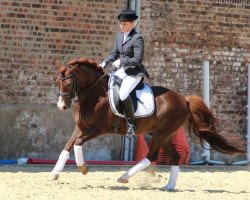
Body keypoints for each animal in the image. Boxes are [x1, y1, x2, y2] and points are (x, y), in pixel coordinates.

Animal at [50, 57, 244, 191]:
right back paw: (169, 187)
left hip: (161, 133)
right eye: (58, 82)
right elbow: (67, 146)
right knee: (174, 157)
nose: (62, 106)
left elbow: (77, 143)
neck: (95, 94)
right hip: (166, 135)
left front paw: (83, 167)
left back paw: (124, 177)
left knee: (151, 156)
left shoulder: (99, 129)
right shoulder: (81, 128)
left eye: (69, 82)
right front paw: (54, 174)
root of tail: (183, 98)